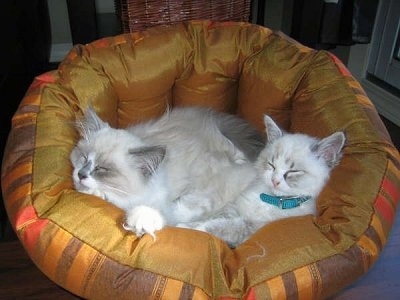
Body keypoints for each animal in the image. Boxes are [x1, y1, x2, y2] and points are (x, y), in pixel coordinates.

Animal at [179, 115, 346, 246]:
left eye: (292, 172)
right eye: (271, 164)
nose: (275, 181)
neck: (270, 199)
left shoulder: (253, 227)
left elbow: (221, 227)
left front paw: (187, 228)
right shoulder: (232, 208)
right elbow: (218, 219)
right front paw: (188, 224)